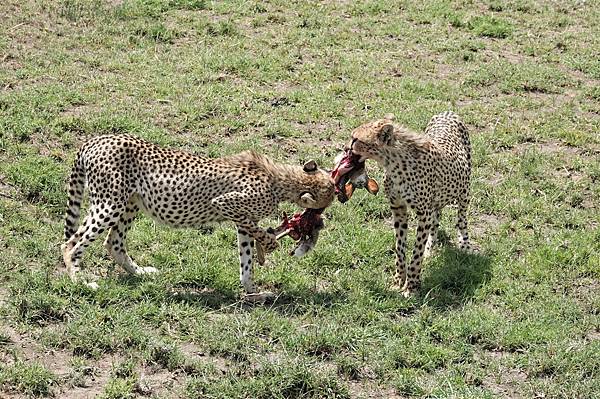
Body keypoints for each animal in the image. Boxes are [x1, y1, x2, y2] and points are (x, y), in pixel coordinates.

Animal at [61, 134, 336, 294]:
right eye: (331, 194)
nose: (341, 195)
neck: (282, 179)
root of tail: (96, 140)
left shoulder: (242, 220)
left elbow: (246, 258)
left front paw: (251, 290)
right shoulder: (227, 204)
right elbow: (258, 236)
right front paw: (269, 244)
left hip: (130, 203)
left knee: (113, 242)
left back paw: (139, 272)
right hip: (110, 204)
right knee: (71, 243)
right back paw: (80, 280)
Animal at [338, 111, 474, 296]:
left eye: (355, 139)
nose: (345, 148)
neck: (393, 163)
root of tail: (447, 112)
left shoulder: (423, 213)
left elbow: (416, 252)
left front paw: (412, 286)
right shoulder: (398, 208)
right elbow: (400, 247)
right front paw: (398, 281)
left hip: (464, 190)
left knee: (461, 219)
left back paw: (464, 244)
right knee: (436, 219)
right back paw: (430, 248)